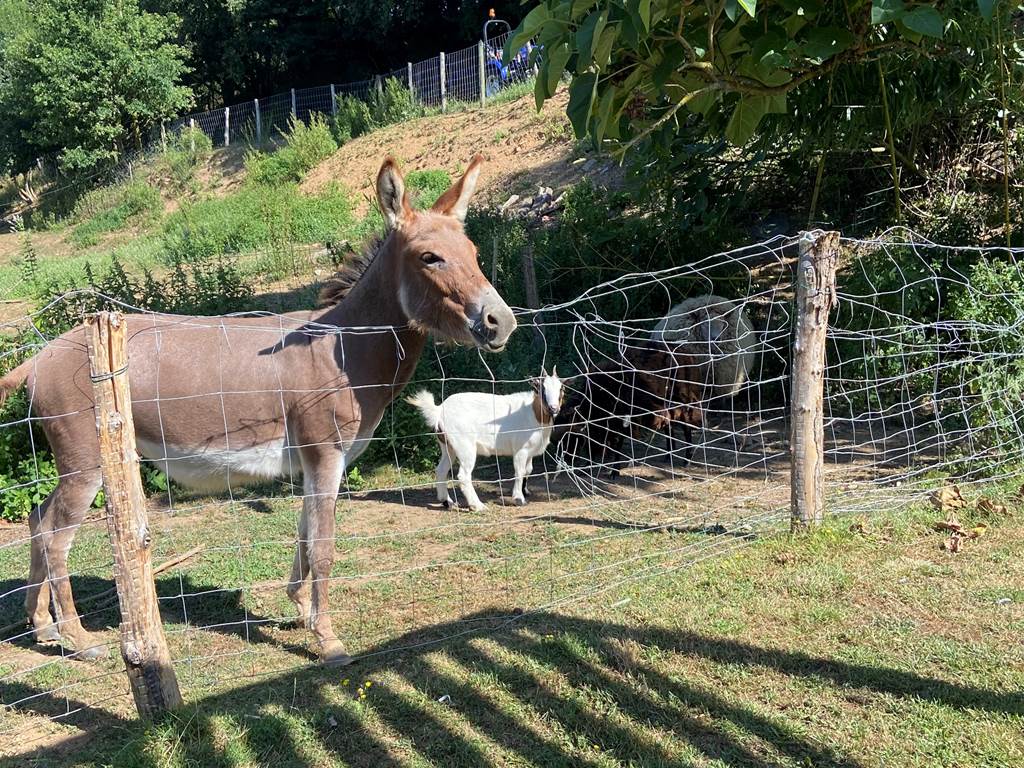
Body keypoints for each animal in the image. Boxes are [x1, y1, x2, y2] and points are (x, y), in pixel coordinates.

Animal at [405, 370, 565, 514]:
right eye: (541, 388)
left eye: (561, 389)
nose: (553, 408)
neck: (533, 413)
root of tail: (438, 410)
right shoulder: (521, 450)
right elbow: (519, 472)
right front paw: (519, 499)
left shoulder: (530, 451)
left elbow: (528, 470)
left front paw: (525, 492)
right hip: (464, 445)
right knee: (463, 475)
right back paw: (478, 506)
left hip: (447, 446)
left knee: (441, 470)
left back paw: (448, 502)